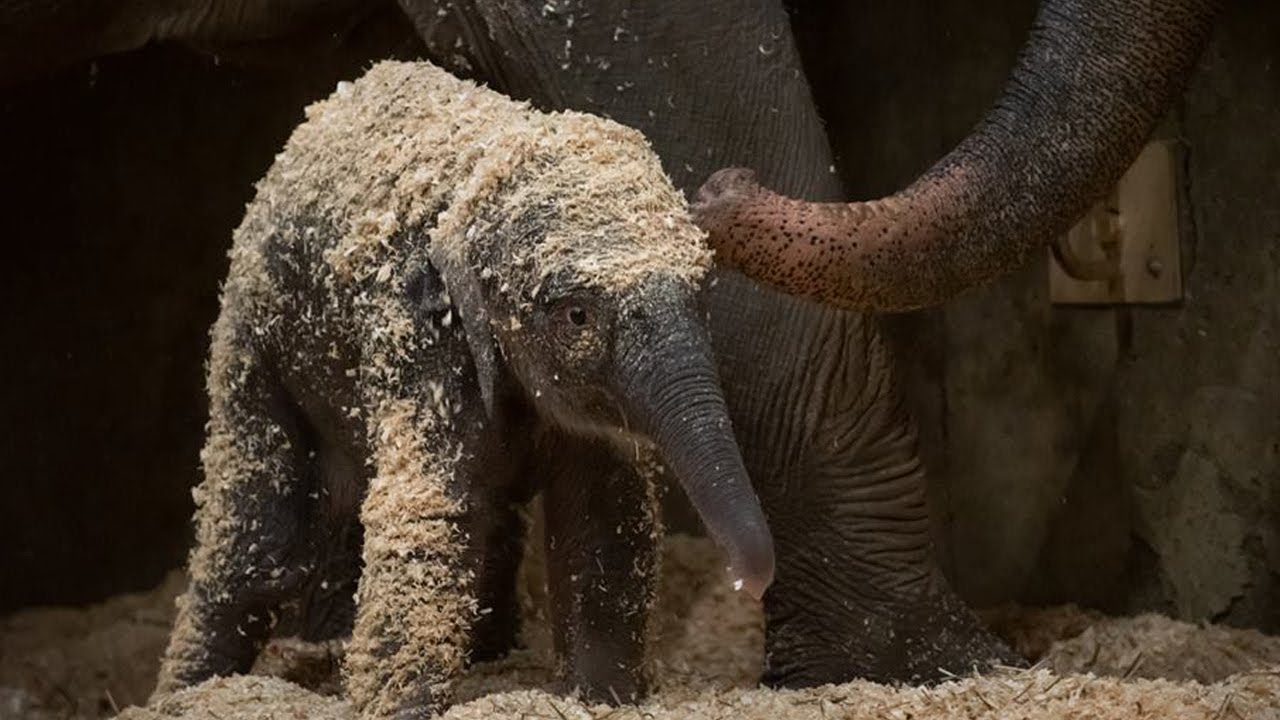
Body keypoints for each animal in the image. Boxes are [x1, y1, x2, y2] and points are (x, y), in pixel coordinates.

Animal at [154, 61, 775, 717]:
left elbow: (604, 517)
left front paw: (601, 697)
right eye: (577, 316)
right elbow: (425, 516)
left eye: (702, 289)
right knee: (256, 536)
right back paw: (190, 691)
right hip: (251, 340)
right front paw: (400, 707)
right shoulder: (418, 339)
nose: (750, 582)